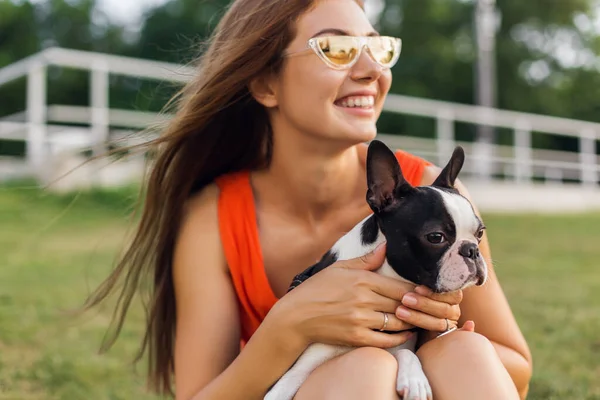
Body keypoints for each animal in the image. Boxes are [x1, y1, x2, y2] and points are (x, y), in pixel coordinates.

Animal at [266, 141, 488, 400]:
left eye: (480, 233)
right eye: (436, 237)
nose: (472, 250)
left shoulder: (396, 342)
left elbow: (404, 353)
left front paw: (414, 380)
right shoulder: (301, 366)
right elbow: (283, 387)